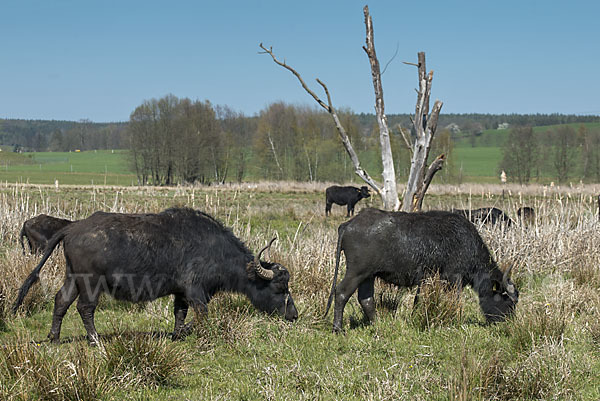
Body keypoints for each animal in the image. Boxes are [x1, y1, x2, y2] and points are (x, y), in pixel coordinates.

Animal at [12, 208, 298, 342]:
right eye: (280, 288)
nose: (294, 314)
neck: (215, 250)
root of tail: (71, 228)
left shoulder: (181, 294)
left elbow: (180, 314)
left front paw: (177, 334)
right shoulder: (195, 291)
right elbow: (202, 316)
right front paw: (189, 332)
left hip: (72, 277)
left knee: (61, 301)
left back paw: (54, 337)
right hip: (90, 282)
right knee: (85, 308)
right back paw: (94, 339)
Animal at [326, 206, 516, 332]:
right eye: (508, 300)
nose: (509, 321)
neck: (466, 243)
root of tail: (348, 224)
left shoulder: (425, 281)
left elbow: (418, 301)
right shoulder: (454, 278)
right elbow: (455, 301)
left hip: (368, 275)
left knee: (366, 299)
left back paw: (377, 324)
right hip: (356, 272)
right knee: (341, 292)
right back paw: (338, 329)